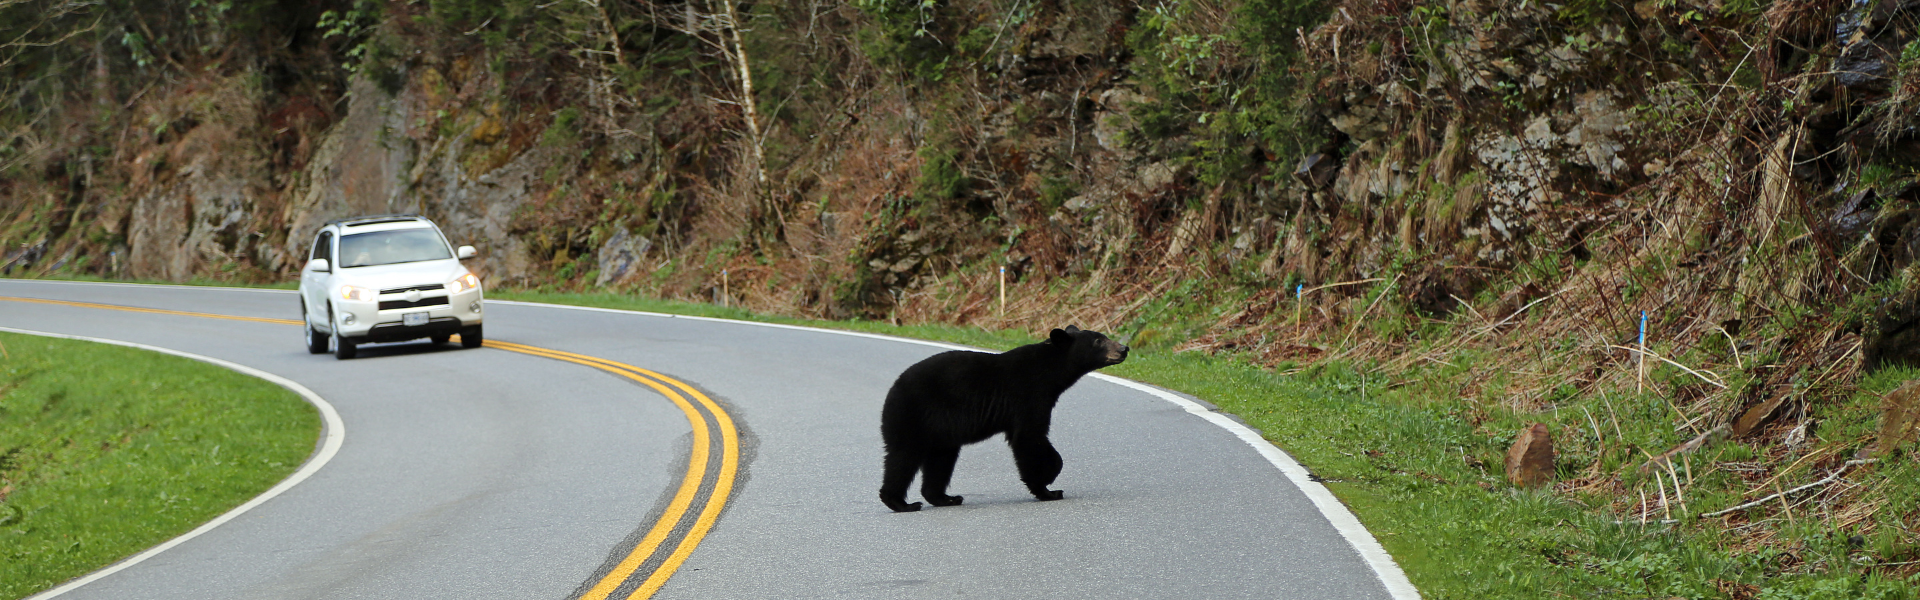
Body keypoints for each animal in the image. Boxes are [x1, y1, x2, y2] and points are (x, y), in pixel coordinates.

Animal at [878, 325, 1129, 512]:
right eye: (1098, 341)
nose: (1124, 348)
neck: (1049, 371)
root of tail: (892, 389)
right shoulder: (1029, 395)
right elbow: (1029, 438)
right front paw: (1048, 486)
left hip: (941, 432)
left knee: (941, 459)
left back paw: (945, 498)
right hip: (911, 415)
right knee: (902, 456)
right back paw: (901, 503)